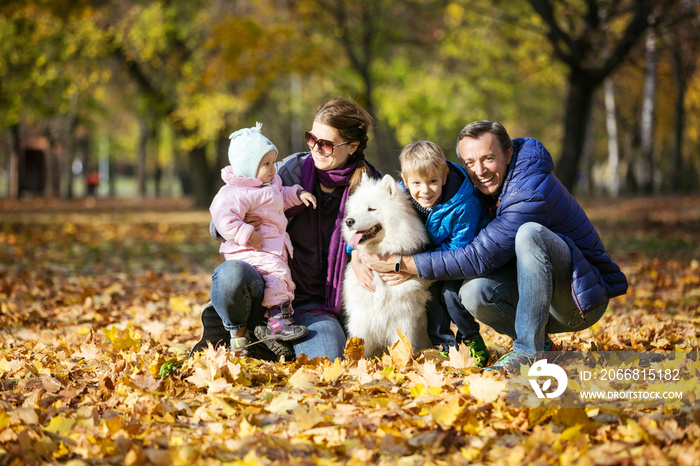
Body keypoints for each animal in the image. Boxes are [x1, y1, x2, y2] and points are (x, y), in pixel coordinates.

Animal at [340, 173, 432, 358]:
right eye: (356, 209)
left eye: (371, 209)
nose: (348, 221)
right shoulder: (362, 318)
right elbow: (359, 347)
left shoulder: (403, 318)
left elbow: (402, 346)